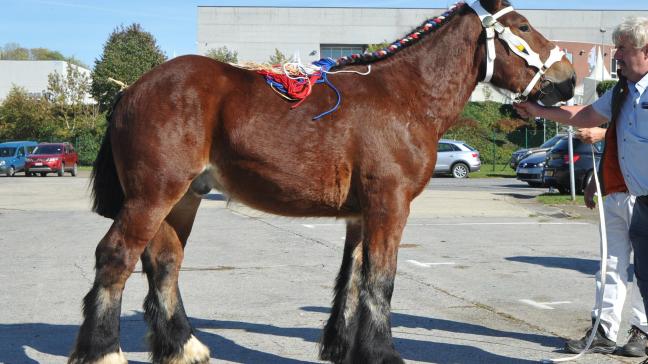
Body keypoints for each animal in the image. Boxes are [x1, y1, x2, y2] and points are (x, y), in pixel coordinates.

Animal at [71, 1, 576, 362]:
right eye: (524, 27)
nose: (570, 79)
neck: (405, 97)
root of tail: (131, 89)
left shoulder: (361, 214)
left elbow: (351, 278)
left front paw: (343, 349)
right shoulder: (389, 204)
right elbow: (381, 279)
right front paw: (382, 353)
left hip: (182, 199)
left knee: (164, 263)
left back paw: (182, 347)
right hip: (152, 195)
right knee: (116, 256)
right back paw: (104, 352)